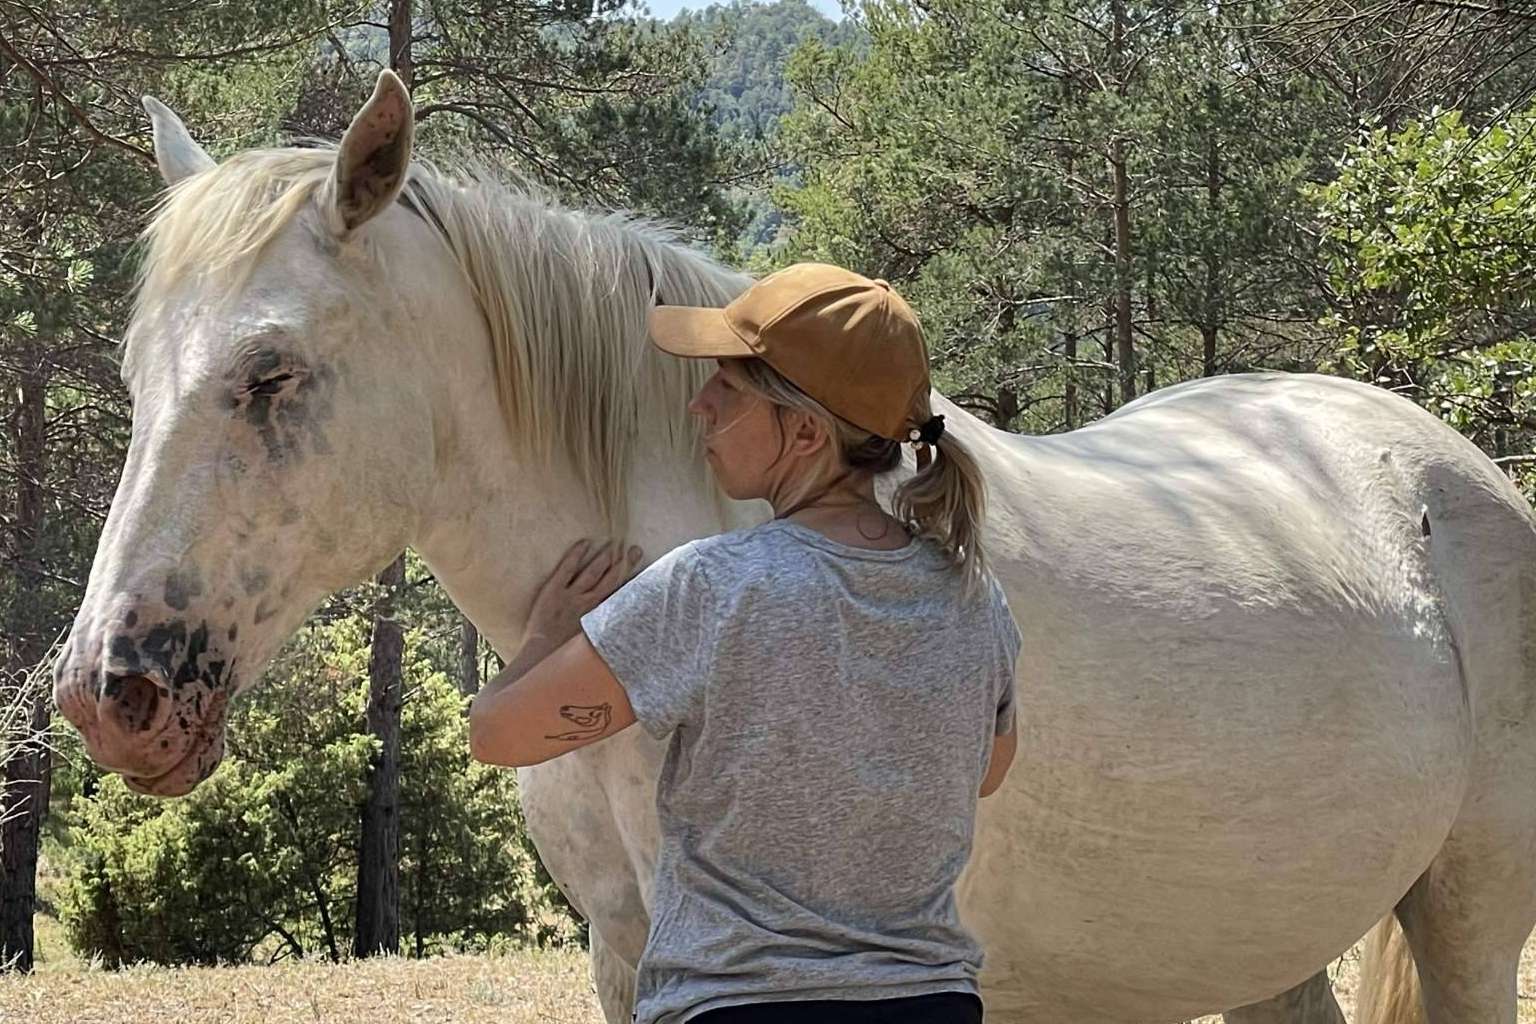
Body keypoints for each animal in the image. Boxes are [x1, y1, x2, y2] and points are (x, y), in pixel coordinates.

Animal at [53, 71, 1536, 1024]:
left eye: (270, 372)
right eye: (131, 373)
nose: (109, 693)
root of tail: (1443, 464)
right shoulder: (628, 950)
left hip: (1470, 916)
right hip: (1257, 945)